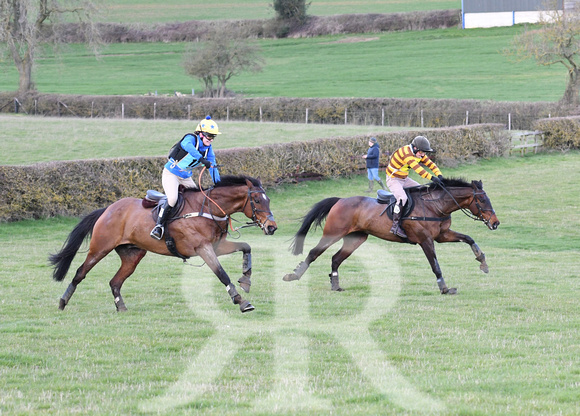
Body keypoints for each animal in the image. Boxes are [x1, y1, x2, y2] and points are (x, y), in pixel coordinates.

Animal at [49, 175, 276, 312]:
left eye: (269, 200)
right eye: (257, 201)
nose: (272, 227)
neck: (209, 208)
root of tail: (108, 209)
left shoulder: (217, 246)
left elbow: (246, 247)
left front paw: (246, 279)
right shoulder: (203, 248)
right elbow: (222, 274)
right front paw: (241, 301)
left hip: (133, 255)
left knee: (115, 282)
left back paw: (121, 307)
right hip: (100, 248)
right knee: (80, 272)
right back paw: (62, 302)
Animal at [284, 177, 498, 294]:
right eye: (481, 200)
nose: (495, 223)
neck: (435, 205)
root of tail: (340, 200)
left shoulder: (442, 235)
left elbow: (469, 239)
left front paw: (483, 263)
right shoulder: (426, 241)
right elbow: (435, 265)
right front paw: (444, 288)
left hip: (356, 238)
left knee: (336, 259)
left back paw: (336, 285)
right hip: (333, 233)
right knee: (313, 253)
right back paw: (294, 275)